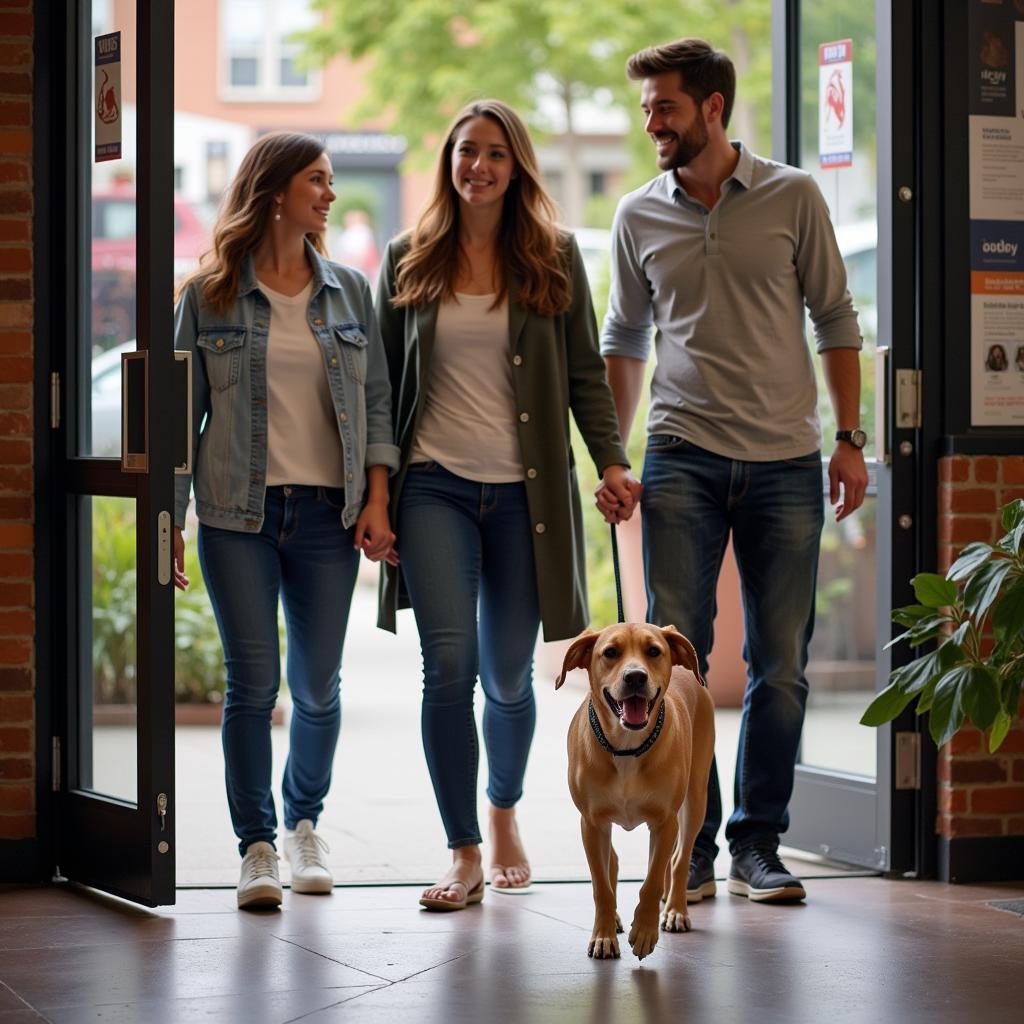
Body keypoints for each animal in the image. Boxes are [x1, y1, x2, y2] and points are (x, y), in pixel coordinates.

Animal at [557, 618, 716, 962]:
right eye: (610, 652)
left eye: (653, 651)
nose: (635, 676)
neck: (626, 748)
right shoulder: (592, 823)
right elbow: (601, 885)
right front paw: (603, 935)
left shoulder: (665, 822)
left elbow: (653, 879)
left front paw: (644, 931)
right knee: (613, 862)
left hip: (695, 800)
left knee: (680, 859)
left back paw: (675, 909)